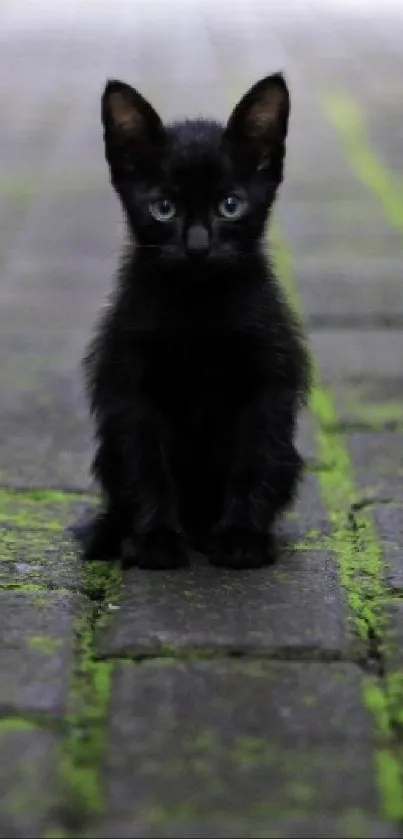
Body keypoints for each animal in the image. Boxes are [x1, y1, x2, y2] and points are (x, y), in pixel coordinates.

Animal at [80, 74, 310, 572]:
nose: (199, 246)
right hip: (109, 450)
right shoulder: (131, 386)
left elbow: (251, 461)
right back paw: (112, 534)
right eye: (164, 208)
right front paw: (157, 539)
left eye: (231, 205)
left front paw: (242, 537)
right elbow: (148, 466)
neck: (198, 306)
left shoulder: (267, 381)